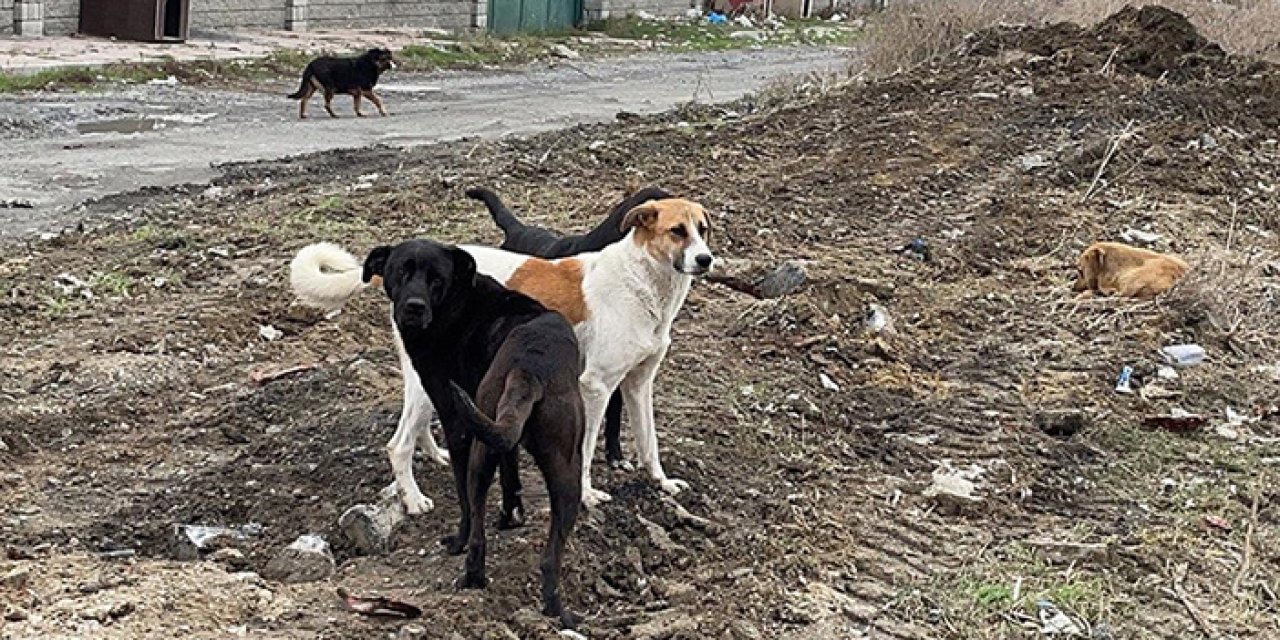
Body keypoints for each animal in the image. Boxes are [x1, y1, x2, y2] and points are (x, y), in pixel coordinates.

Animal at [366, 239, 586, 624]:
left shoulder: (457, 424)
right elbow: (510, 469)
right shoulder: (498, 431)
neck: (458, 303)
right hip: (557, 468)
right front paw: (511, 516)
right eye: (400, 271)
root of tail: (529, 366)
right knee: (541, 553)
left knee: (480, 521)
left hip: (496, 453)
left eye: (436, 278)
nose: (413, 308)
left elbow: (466, 498)